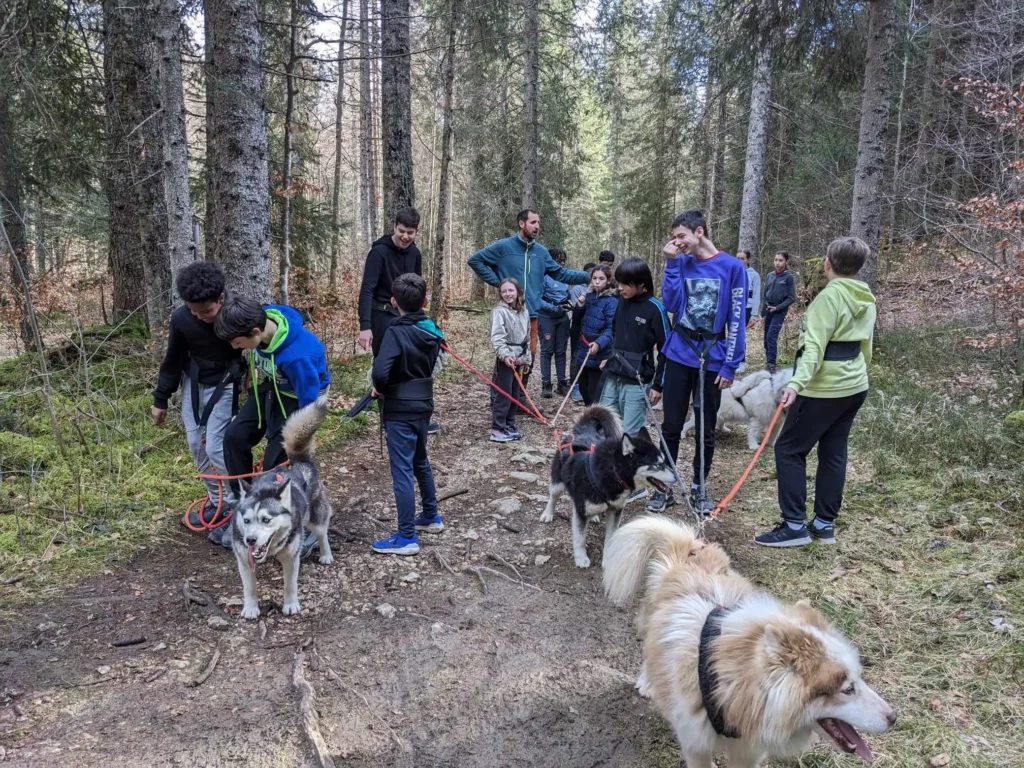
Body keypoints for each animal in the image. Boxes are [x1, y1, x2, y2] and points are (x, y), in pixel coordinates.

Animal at [232, 397, 331, 618]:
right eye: (246, 520)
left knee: (322, 533)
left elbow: (290, 584)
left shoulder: (291, 558)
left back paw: (326, 554)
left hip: (316, 520)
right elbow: (249, 587)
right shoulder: (244, 559)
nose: (250, 540)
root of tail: (299, 461)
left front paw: (291, 604)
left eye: (266, 520)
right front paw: (250, 608)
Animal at [540, 405, 675, 569]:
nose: (676, 476)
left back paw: (594, 516)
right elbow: (580, 538)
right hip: (558, 483)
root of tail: (582, 431)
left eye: (663, 461)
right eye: (656, 465)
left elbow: (611, 535)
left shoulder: (615, 509)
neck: (613, 472)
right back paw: (548, 513)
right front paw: (581, 558)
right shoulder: (580, 510)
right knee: (553, 497)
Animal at [602, 518, 892, 768]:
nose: (894, 718)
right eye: (847, 689)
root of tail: (689, 546)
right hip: (650, 620)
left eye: (859, 678)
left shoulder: (749, 750)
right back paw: (647, 681)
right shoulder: (695, 744)